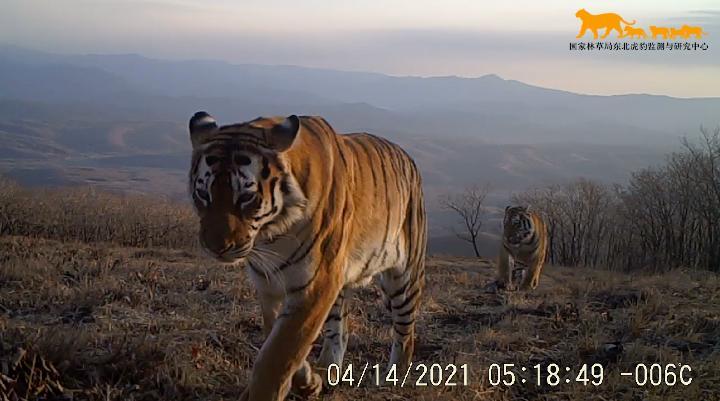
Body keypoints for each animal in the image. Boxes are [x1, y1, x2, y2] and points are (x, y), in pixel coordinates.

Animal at [188, 110, 430, 400]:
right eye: (203, 194)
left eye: (246, 197)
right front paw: (307, 381)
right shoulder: (270, 285)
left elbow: (278, 354)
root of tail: (408, 157)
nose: (216, 247)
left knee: (406, 332)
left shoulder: (315, 284)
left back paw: (394, 378)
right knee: (340, 330)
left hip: (404, 277)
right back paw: (327, 371)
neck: (271, 236)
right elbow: (280, 339)